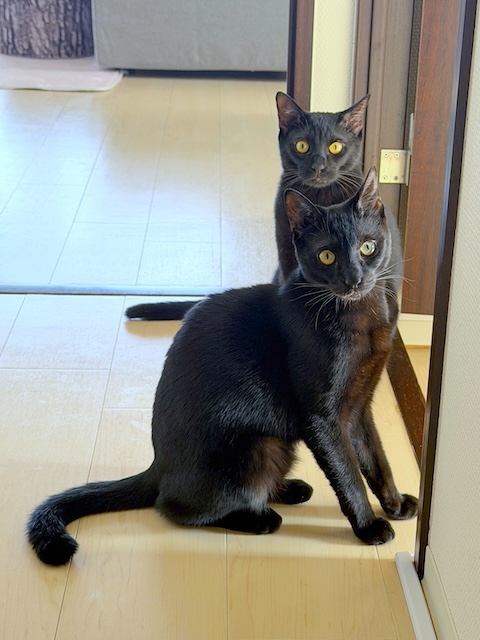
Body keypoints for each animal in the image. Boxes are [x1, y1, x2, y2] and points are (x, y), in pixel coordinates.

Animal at [27, 168, 417, 567]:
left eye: (367, 248)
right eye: (326, 256)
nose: (354, 280)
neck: (362, 319)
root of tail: (158, 466)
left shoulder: (359, 405)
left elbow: (375, 459)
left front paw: (395, 504)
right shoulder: (323, 418)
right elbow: (347, 473)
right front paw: (369, 527)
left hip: (279, 445)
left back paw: (290, 489)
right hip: (253, 451)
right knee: (178, 507)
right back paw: (260, 518)